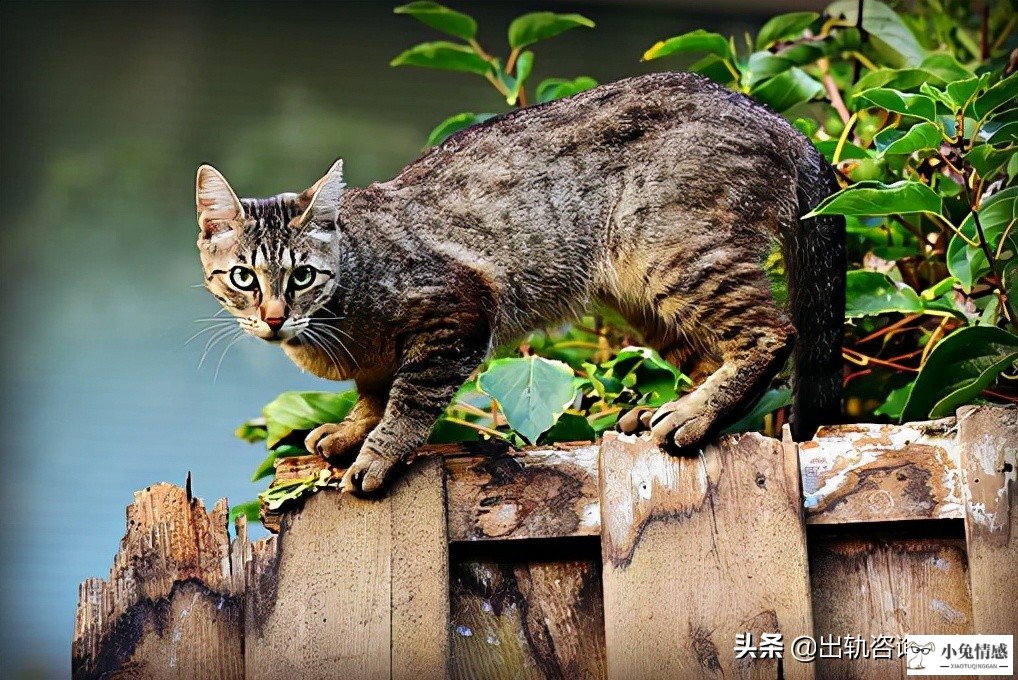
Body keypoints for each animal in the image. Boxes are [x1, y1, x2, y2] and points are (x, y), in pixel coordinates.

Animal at [194, 73, 846, 494]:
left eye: (302, 276)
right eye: (244, 278)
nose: (274, 317)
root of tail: (777, 120)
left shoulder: (459, 311)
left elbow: (408, 399)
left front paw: (378, 452)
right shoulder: (378, 362)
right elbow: (374, 393)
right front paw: (353, 430)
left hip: (674, 255)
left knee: (772, 334)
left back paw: (692, 415)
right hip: (641, 295)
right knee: (720, 358)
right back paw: (672, 410)